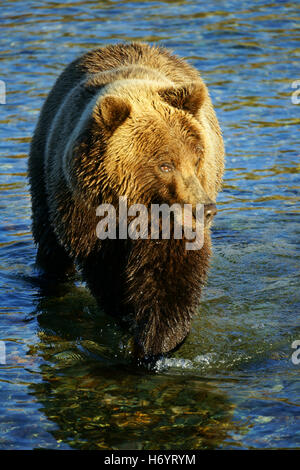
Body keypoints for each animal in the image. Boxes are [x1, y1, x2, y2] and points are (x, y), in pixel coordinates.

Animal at [28, 44, 225, 358]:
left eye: (196, 157)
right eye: (165, 165)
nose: (205, 210)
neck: (134, 206)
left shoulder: (172, 219)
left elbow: (172, 273)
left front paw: (157, 341)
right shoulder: (87, 210)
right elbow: (104, 270)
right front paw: (129, 317)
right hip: (43, 168)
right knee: (49, 241)